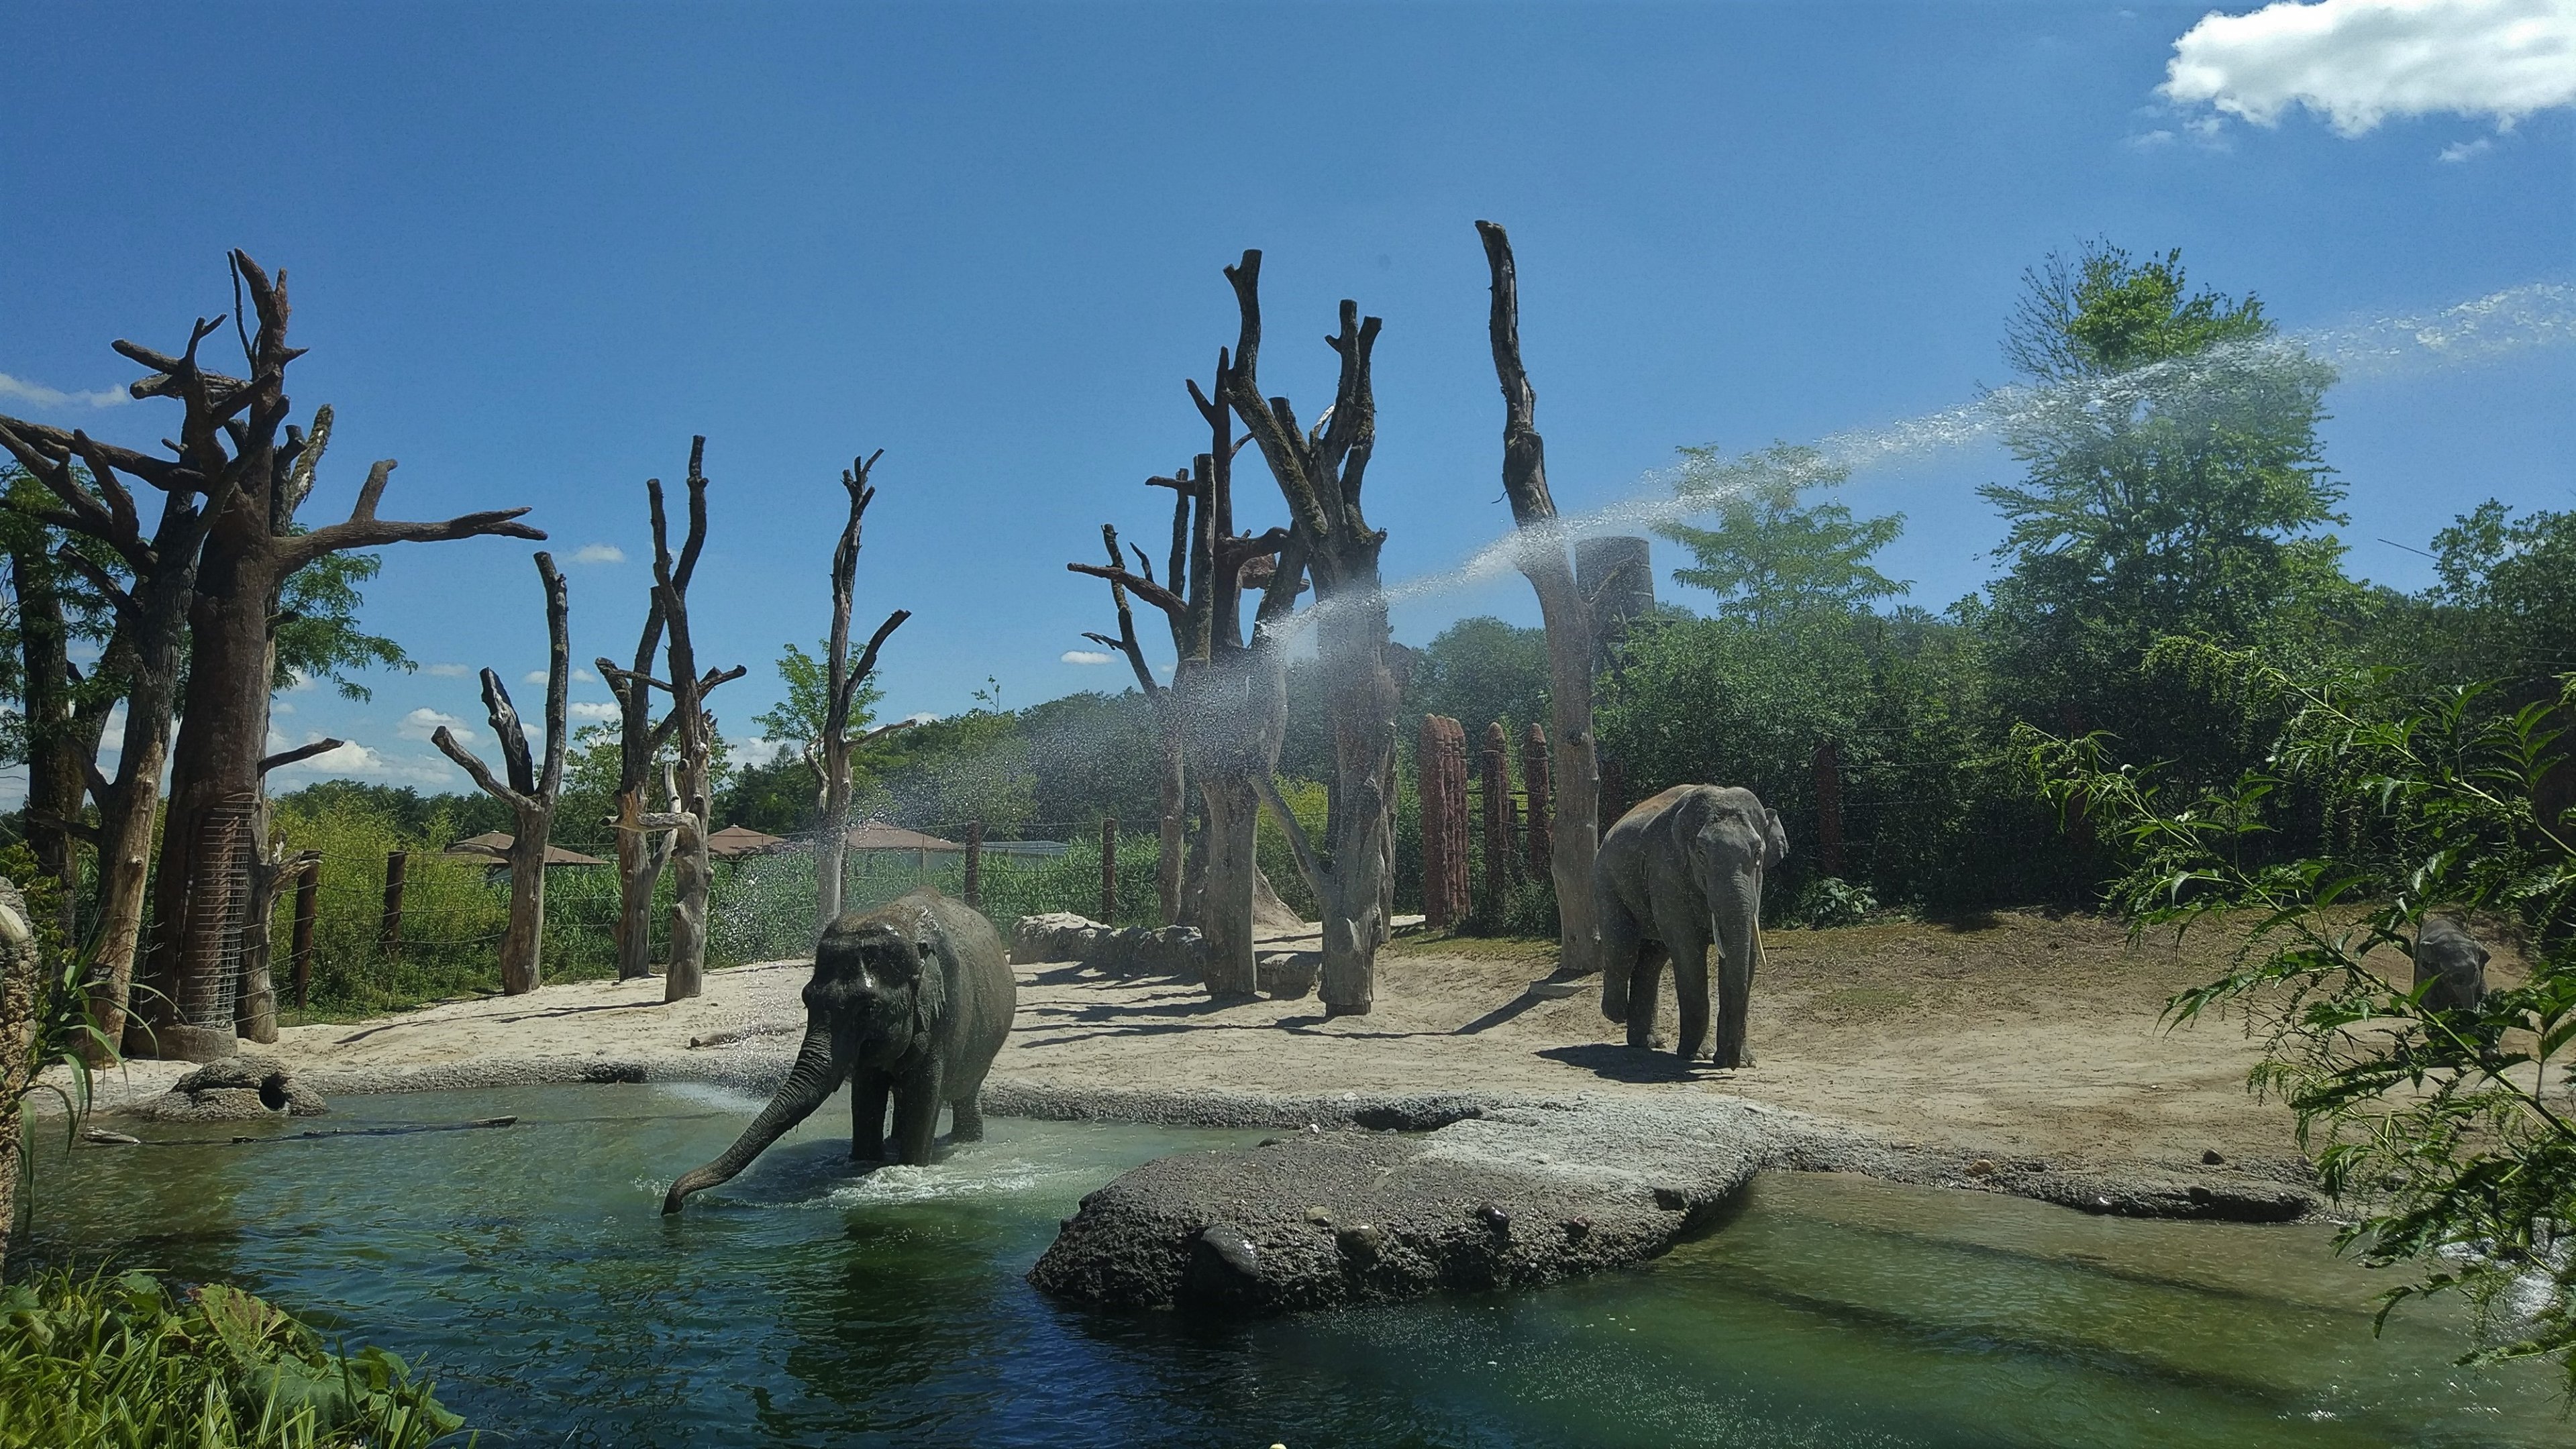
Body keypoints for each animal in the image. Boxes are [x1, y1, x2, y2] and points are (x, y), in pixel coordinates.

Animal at [663, 888, 1016, 1214]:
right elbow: (865, 1094)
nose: (672, 1205)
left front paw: (908, 1169)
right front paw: (864, 1165)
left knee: (964, 1091)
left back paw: (966, 1142)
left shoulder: (945, 1020)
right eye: (806, 998)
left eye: (869, 1010)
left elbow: (924, 1094)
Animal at [1595, 785, 1787, 1069]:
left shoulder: (1757, 883)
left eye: (1758, 854)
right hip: (1607, 882)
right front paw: (1698, 1056)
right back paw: (1617, 1013)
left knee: (1651, 960)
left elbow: (1750, 949)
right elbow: (1687, 950)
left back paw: (1649, 1042)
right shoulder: (1665, 871)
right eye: (1701, 854)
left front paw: (1743, 1062)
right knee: (1624, 949)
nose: (1729, 1064)